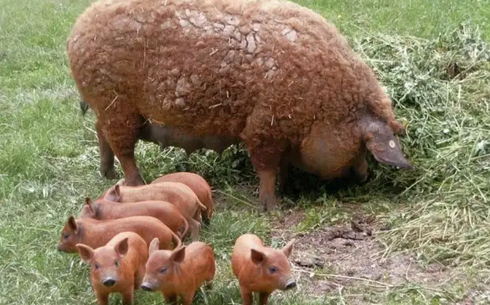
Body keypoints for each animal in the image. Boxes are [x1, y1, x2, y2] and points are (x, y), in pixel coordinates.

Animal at [70, 0, 414, 210]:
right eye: (361, 146)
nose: (364, 176)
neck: (323, 108)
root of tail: (78, 27)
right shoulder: (263, 126)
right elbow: (266, 167)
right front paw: (273, 207)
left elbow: (280, 166)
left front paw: (288, 189)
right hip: (116, 105)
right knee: (123, 148)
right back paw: (136, 183)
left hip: (110, 108)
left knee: (100, 133)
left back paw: (106, 174)